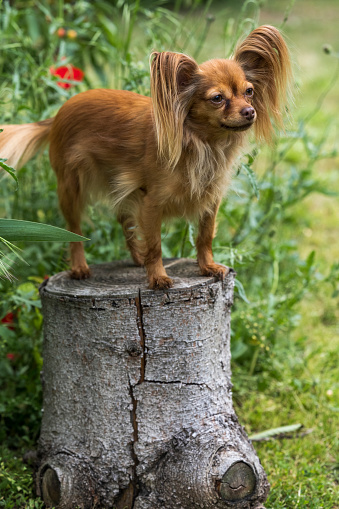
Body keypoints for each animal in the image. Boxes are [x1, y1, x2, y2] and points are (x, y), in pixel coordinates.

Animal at [0, 25, 292, 290]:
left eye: (249, 92)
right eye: (217, 98)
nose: (249, 112)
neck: (203, 143)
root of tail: (60, 112)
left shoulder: (210, 199)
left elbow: (205, 236)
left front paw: (207, 266)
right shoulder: (152, 203)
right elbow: (156, 245)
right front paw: (158, 277)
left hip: (119, 185)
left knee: (124, 221)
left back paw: (137, 258)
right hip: (70, 188)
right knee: (75, 231)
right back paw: (80, 267)